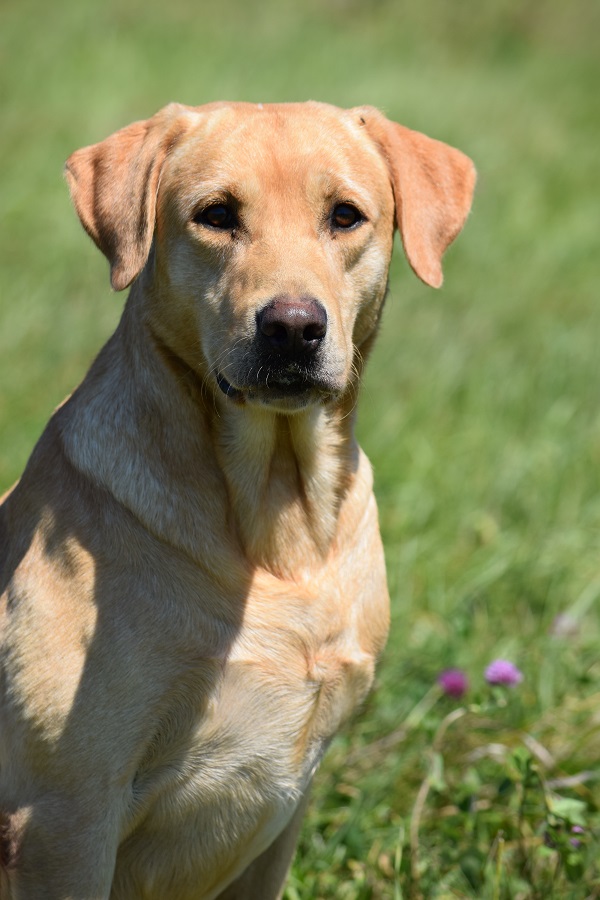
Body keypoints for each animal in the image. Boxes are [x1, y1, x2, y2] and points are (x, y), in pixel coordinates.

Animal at [0, 102, 476, 896]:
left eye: (345, 216)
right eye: (216, 215)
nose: (292, 326)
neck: (278, 521)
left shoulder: (283, 813)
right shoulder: (62, 813)